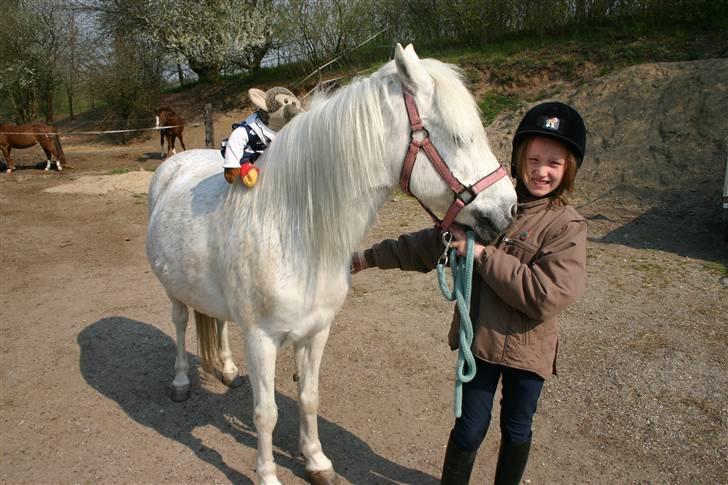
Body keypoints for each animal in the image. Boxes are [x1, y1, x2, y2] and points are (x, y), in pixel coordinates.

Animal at [145, 43, 516, 482]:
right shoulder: (261, 340)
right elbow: (266, 413)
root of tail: (175, 164)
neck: (292, 231)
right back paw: (181, 381)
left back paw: (230, 371)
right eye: (459, 137)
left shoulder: (316, 332)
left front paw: (316, 462)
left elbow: (309, 397)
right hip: (173, 293)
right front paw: (267, 474)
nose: (510, 209)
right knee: (181, 325)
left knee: (216, 322)